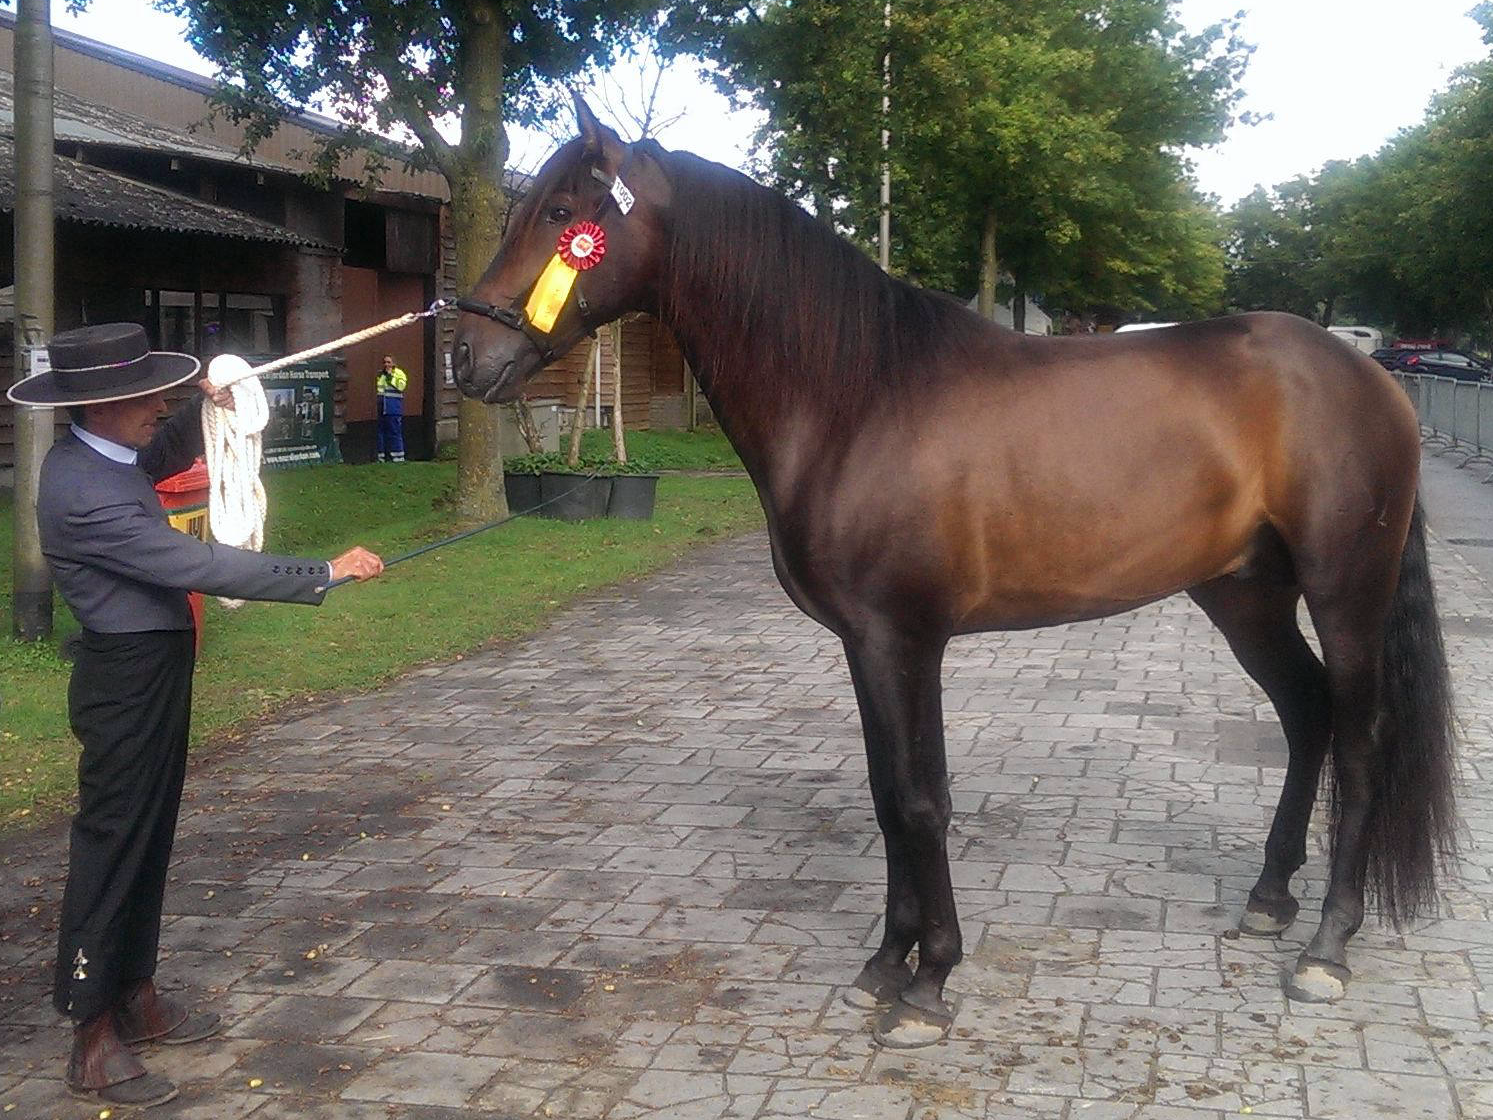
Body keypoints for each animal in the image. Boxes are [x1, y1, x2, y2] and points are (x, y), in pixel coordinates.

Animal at [450, 96, 1458, 1048]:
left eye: (563, 213)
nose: (469, 357)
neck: (858, 394)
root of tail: (1369, 379)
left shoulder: (904, 638)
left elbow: (919, 801)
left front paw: (928, 984)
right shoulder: (865, 644)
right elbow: (886, 798)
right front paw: (883, 965)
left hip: (1344, 589)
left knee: (1359, 736)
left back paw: (1326, 947)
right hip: (1244, 593)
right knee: (1305, 713)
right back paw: (1267, 899)